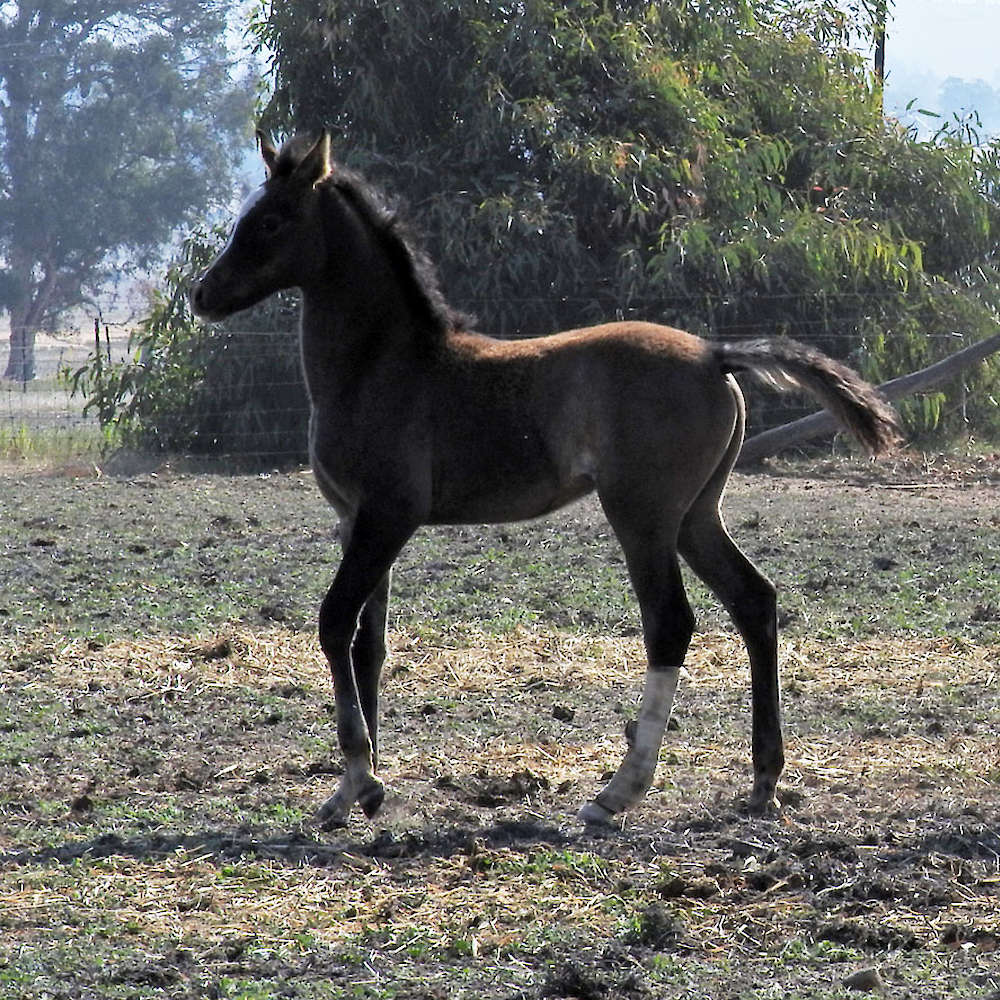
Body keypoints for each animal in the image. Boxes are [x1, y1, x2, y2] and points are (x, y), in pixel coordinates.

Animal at [191, 131, 902, 828]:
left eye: (273, 220)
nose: (204, 294)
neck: (382, 366)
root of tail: (713, 354)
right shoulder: (355, 521)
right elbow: (370, 643)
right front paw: (355, 793)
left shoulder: (388, 515)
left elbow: (335, 623)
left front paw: (359, 780)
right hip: (695, 515)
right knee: (753, 600)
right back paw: (763, 783)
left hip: (641, 515)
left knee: (670, 622)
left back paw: (617, 794)